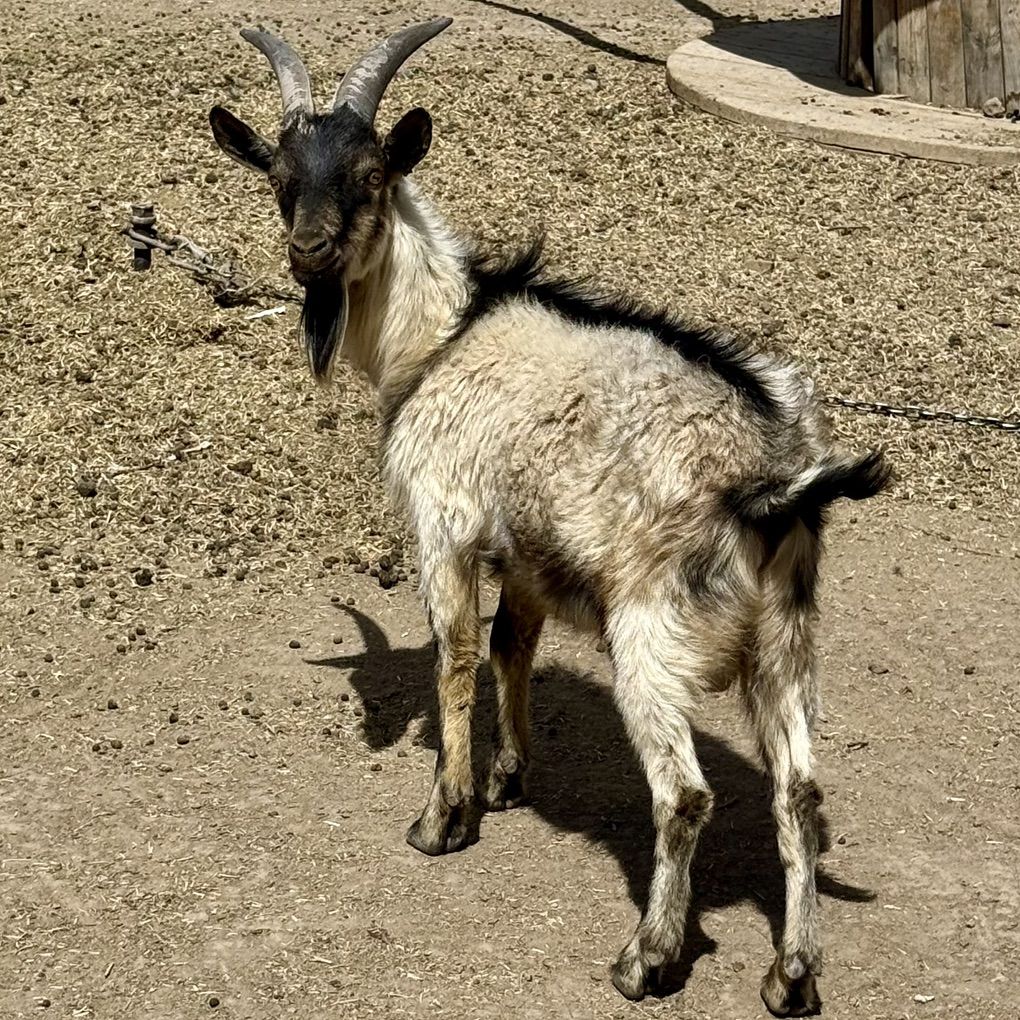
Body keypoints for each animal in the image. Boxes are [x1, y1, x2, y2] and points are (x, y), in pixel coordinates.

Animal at [209, 19, 890, 1016]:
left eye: (370, 173)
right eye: (278, 174)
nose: (311, 250)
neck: (441, 336)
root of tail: (774, 479)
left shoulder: (446, 526)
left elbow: (456, 658)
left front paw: (442, 816)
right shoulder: (527, 549)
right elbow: (512, 648)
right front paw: (507, 778)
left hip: (652, 635)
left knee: (684, 796)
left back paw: (646, 957)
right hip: (788, 639)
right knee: (799, 792)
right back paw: (792, 974)